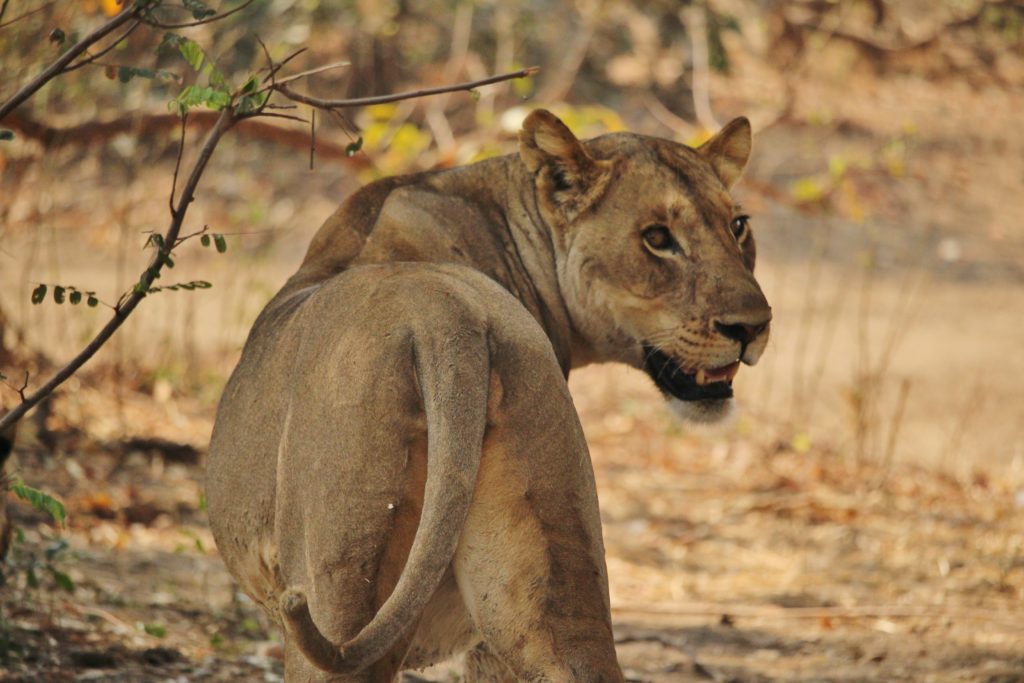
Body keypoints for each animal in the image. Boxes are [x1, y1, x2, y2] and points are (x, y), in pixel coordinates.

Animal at [207, 109, 771, 682]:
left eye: (737, 226)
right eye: (657, 237)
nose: (753, 327)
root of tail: (443, 314)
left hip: (341, 580)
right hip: (543, 550)